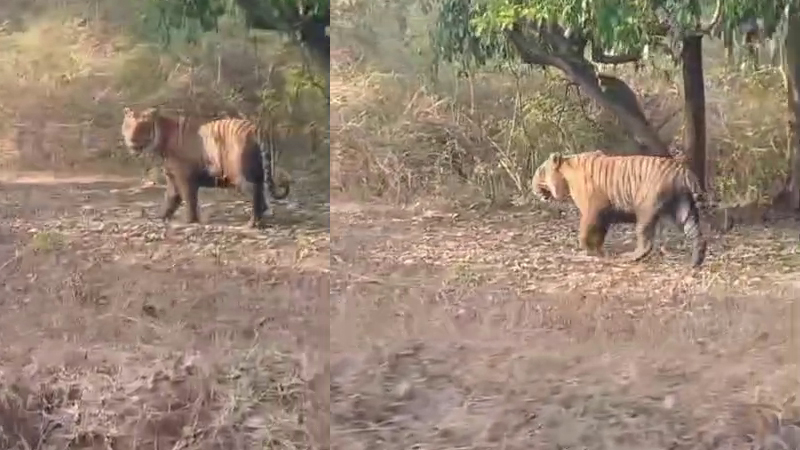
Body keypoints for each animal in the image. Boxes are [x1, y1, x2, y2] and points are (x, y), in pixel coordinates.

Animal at [121, 106, 291, 228]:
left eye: (143, 127)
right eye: (128, 126)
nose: (132, 141)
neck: (162, 138)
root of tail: (254, 128)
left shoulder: (184, 177)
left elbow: (189, 200)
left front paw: (189, 221)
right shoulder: (173, 178)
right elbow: (170, 199)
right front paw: (161, 217)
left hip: (240, 174)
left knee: (255, 193)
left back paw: (252, 223)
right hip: (257, 172)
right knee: (261, 192)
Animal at [531, 150, 707, 267]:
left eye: (540, 171)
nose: (531, 184)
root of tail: (683, 171)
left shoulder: (592, 210)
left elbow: (585, 232)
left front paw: (589, 250)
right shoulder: (604, 214)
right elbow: (599, 234)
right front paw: (598, 251)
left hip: (645, 209)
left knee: (646, 242)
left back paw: (629, 257)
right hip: (684, 210)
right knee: (697, 236)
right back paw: (695, 263)